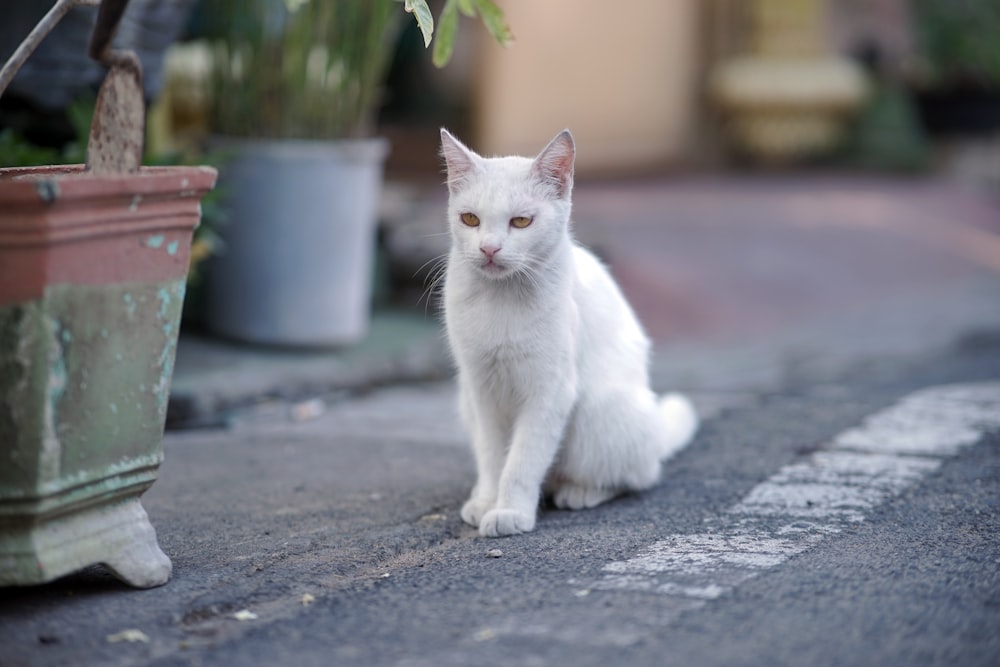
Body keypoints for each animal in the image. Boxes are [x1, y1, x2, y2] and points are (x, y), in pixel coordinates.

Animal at [438, 129, 696, 536]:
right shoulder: (481, 390)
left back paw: (580, 492)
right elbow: (492, 456)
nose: (489, 248)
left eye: (521, 222)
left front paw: (509, 511)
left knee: (638, 476)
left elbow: (522, 461)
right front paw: (488, 501)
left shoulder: (550, 392)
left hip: (601, 411)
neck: (502, 299)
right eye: (470, 218)